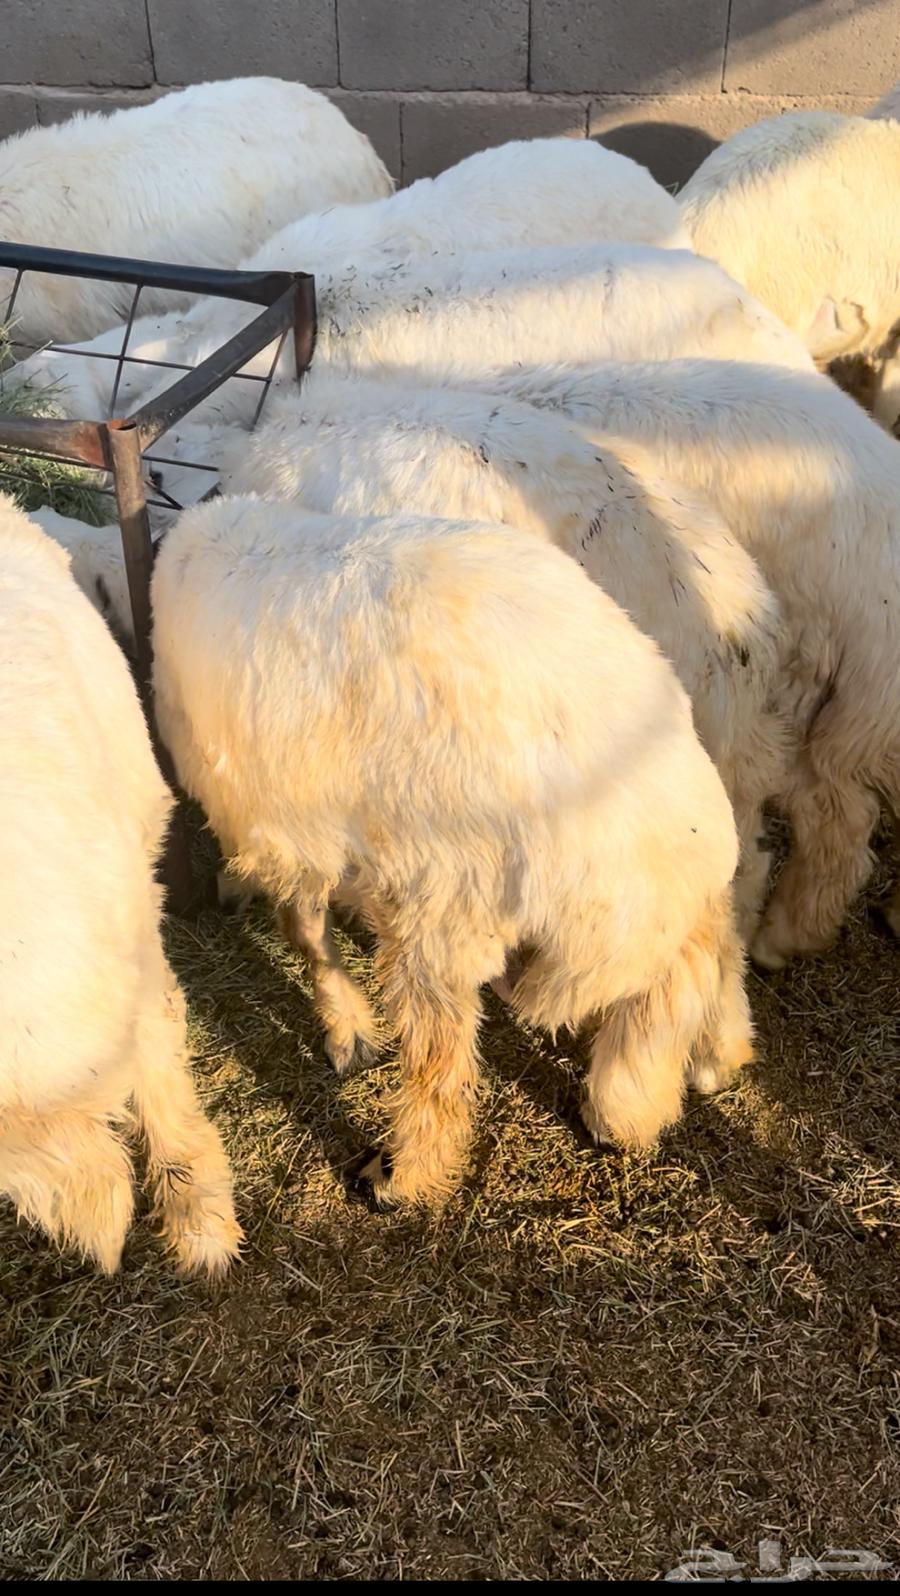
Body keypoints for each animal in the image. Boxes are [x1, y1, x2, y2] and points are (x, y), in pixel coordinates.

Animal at [153, 494, 752, 1197]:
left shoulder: (277, 825)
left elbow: (305, 931)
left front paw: (346, 1033)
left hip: (446, 903)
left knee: (441, 1055)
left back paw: (403, 1173)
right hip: (671, 876)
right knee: (704, 954)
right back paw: (697, 1067)